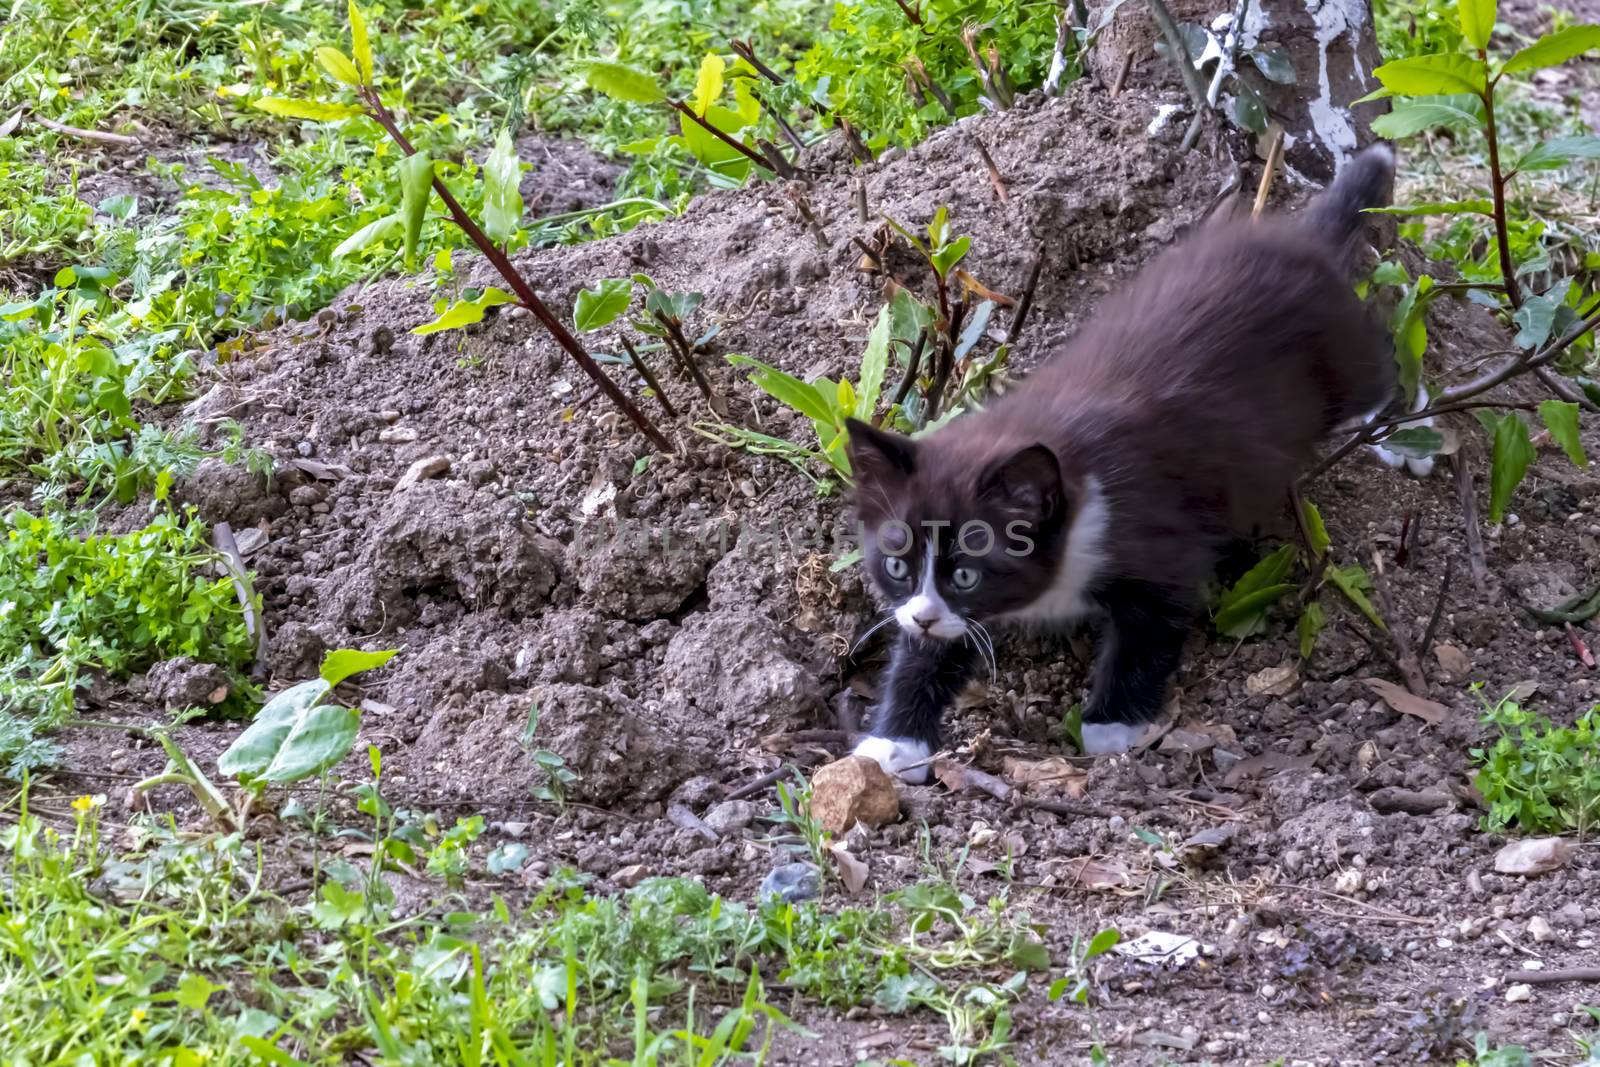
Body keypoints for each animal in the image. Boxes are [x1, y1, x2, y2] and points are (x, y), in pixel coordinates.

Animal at [851, 143, 1401, 783]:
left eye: (967, 574)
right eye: (897, 566)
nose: (920, 617)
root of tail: (1301, 244)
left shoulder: (1159, 540)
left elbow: (1149, 628)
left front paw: (1111, 724)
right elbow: (934, 650)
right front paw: (894, 740)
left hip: (1341, 357)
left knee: (1377, 368)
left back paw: (1392, 429)